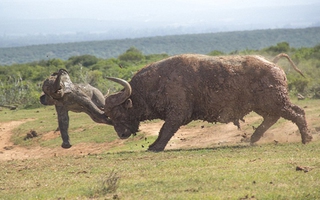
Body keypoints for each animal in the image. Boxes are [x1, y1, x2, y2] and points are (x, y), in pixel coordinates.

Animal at [105, 53, 312, 152]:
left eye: (119, 113)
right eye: (109, 116)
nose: (121, 134)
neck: (156, 83)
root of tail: (274, 65)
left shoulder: (177, 114)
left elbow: (165, 130)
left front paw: (155, 147)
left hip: (276, 102)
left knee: (298, 113)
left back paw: (307, 138)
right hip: (264, 105)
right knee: (273, 118)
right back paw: (253, 138)